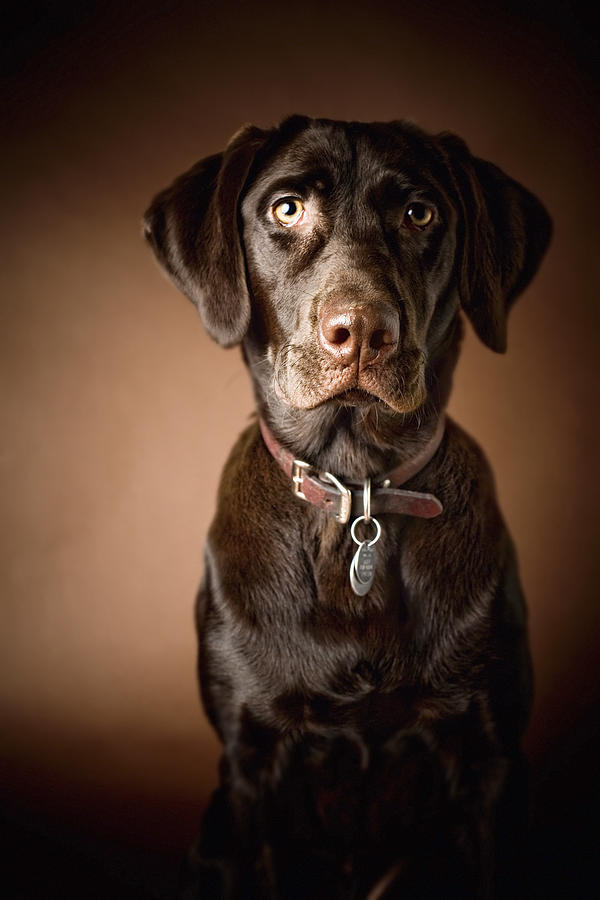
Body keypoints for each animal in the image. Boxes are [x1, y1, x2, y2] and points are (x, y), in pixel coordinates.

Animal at [143, 116, 552, 896]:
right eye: (286, 209)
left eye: (419, 213)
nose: (362, 331)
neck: (355, 484)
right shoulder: (252, 768)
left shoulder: (489, 761)